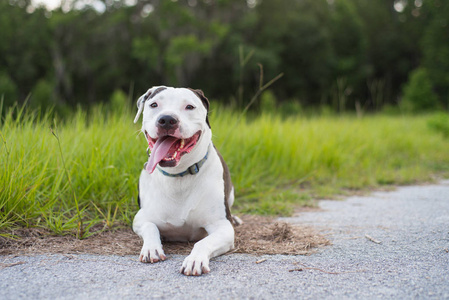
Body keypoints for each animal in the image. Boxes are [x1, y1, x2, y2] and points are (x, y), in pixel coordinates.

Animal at [132, 85, 240, 276]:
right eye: (154, 104)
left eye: (189, 107)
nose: (167, 119)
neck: (178, 176)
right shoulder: (140, 218)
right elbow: (151, 227)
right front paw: (151, 249)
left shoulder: (223, 227)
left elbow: (203, 242)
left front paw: (195, 260)